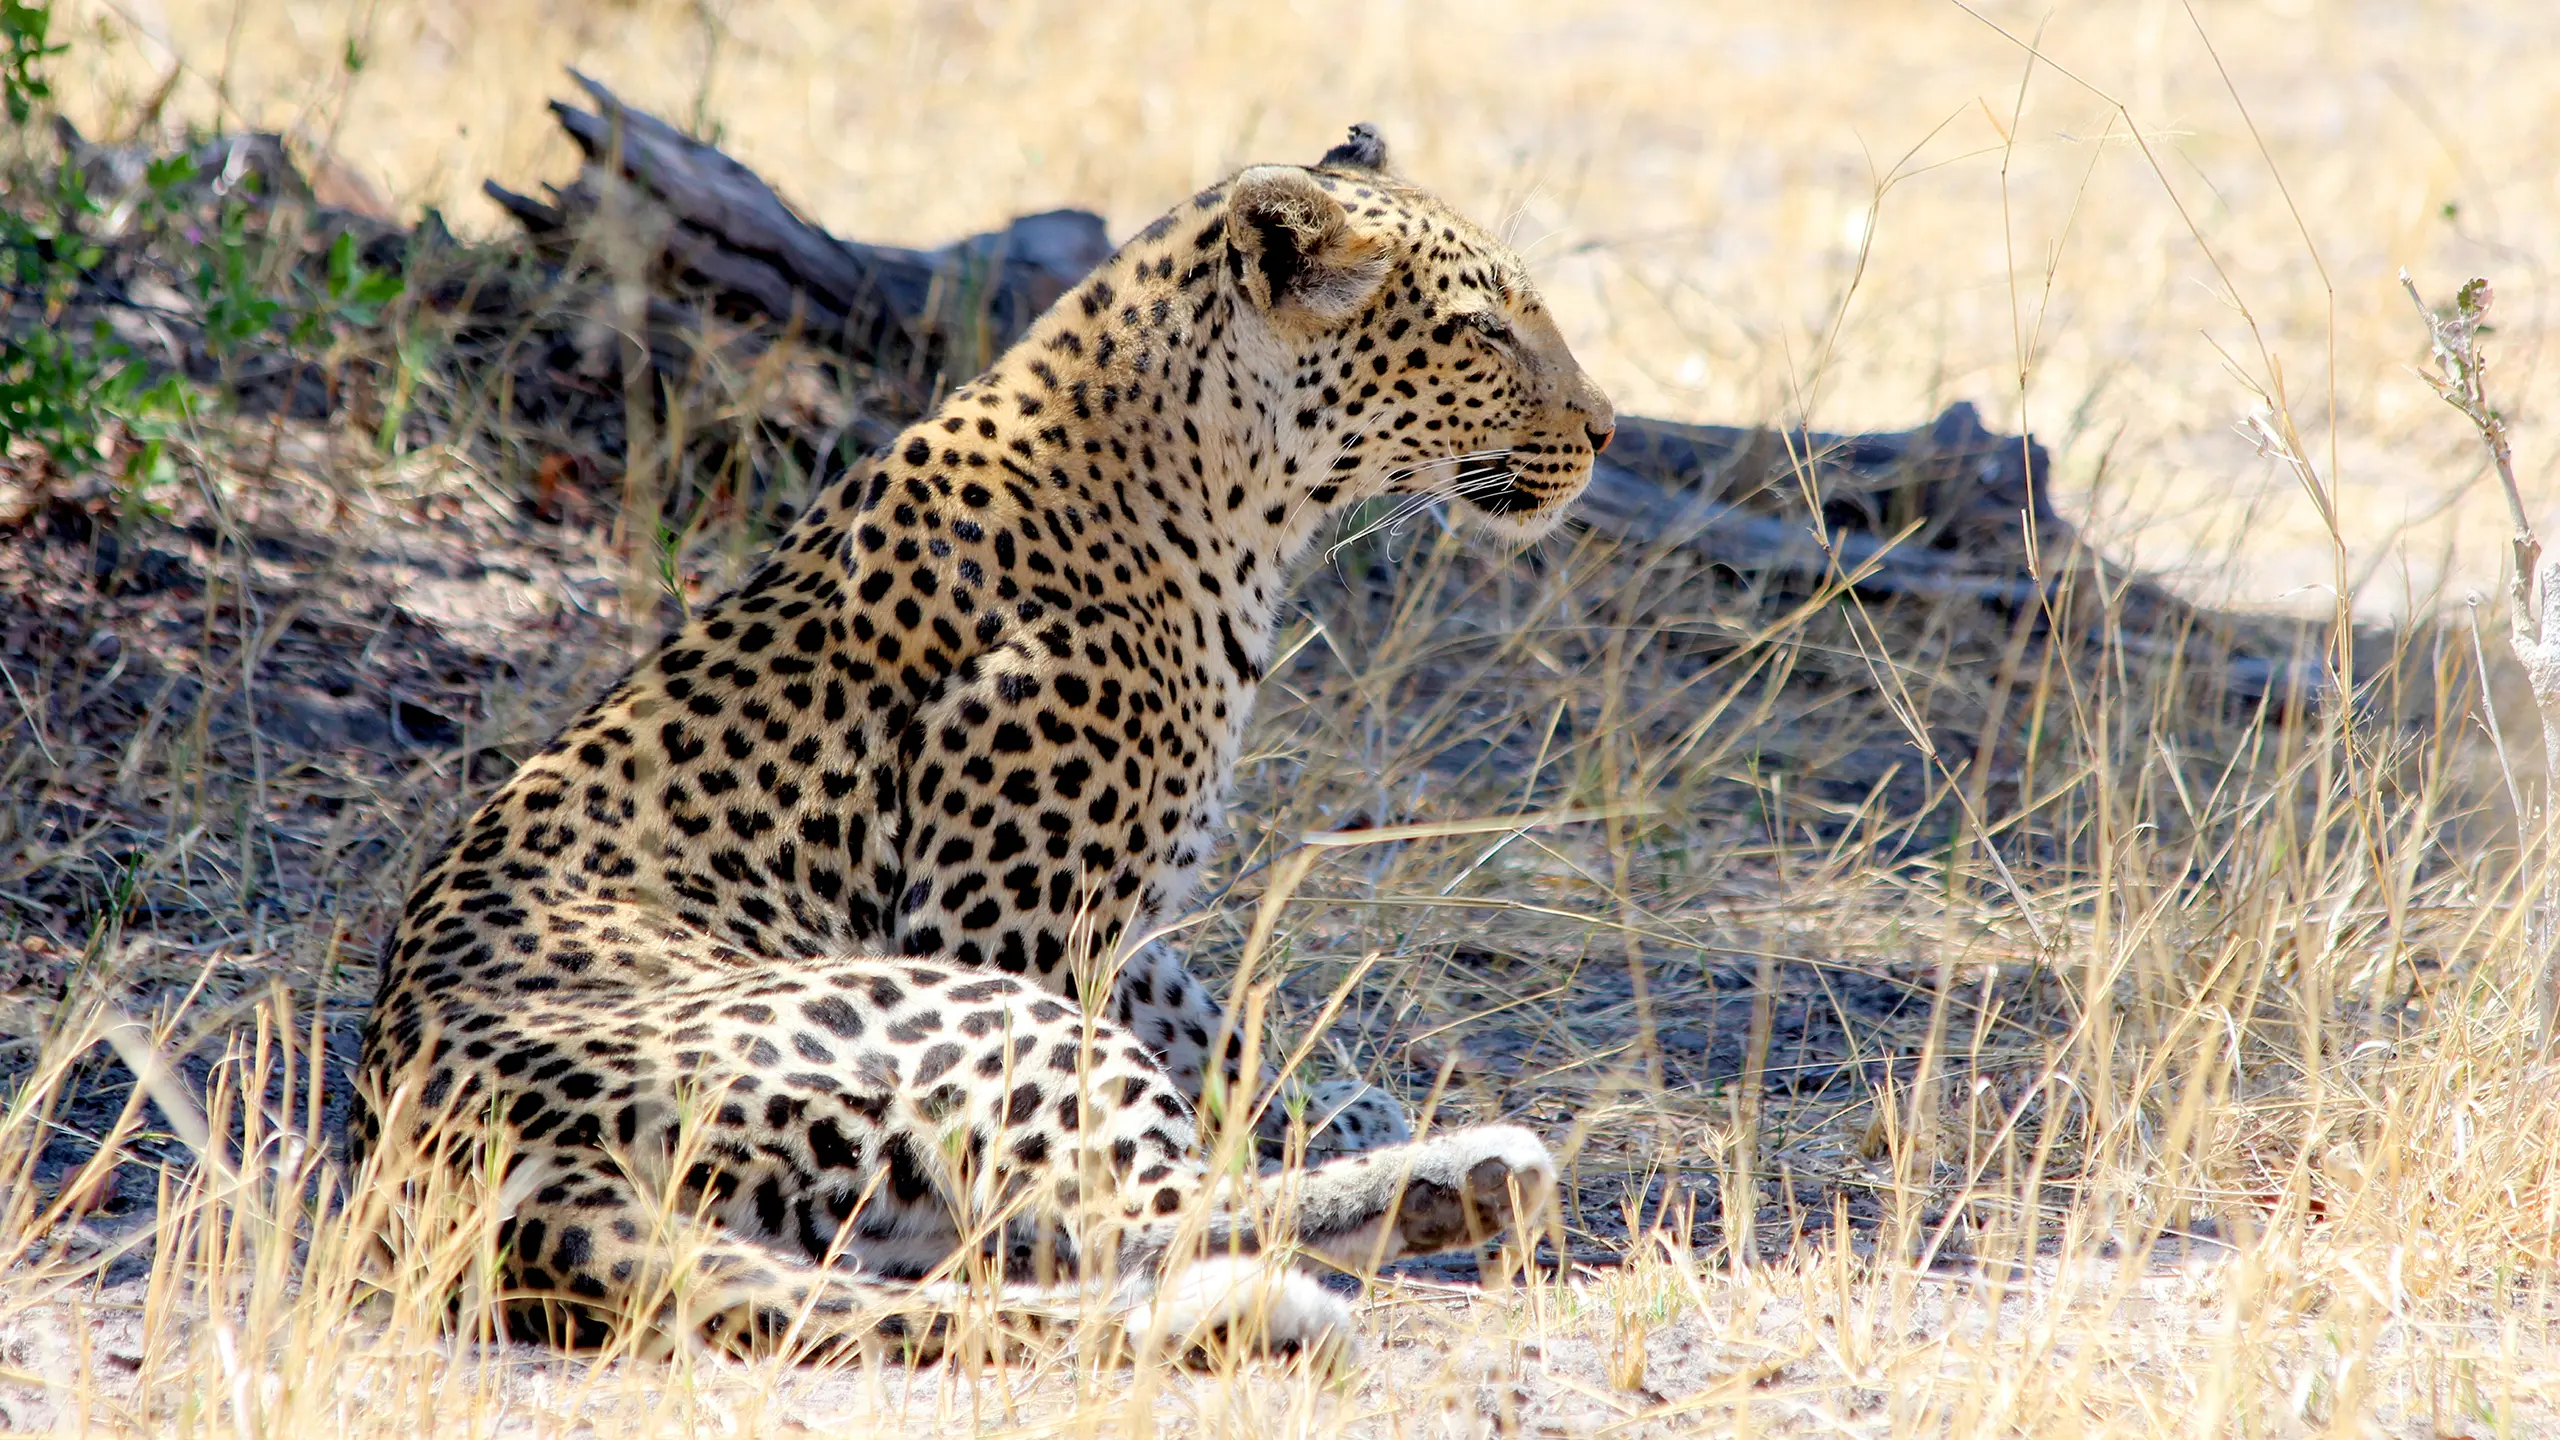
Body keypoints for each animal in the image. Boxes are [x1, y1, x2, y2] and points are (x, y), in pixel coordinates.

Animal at [352, 122, 1616, 1364]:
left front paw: (1331, 1100)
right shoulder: (1009, 926)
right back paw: (1462, 1181)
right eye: (1483, 331)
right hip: (970, 1014)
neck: (1233, 502)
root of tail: (462, 1171)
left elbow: (1211, 1026)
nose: (1605, 430)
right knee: (1129, 1220)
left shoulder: (1119, 923)